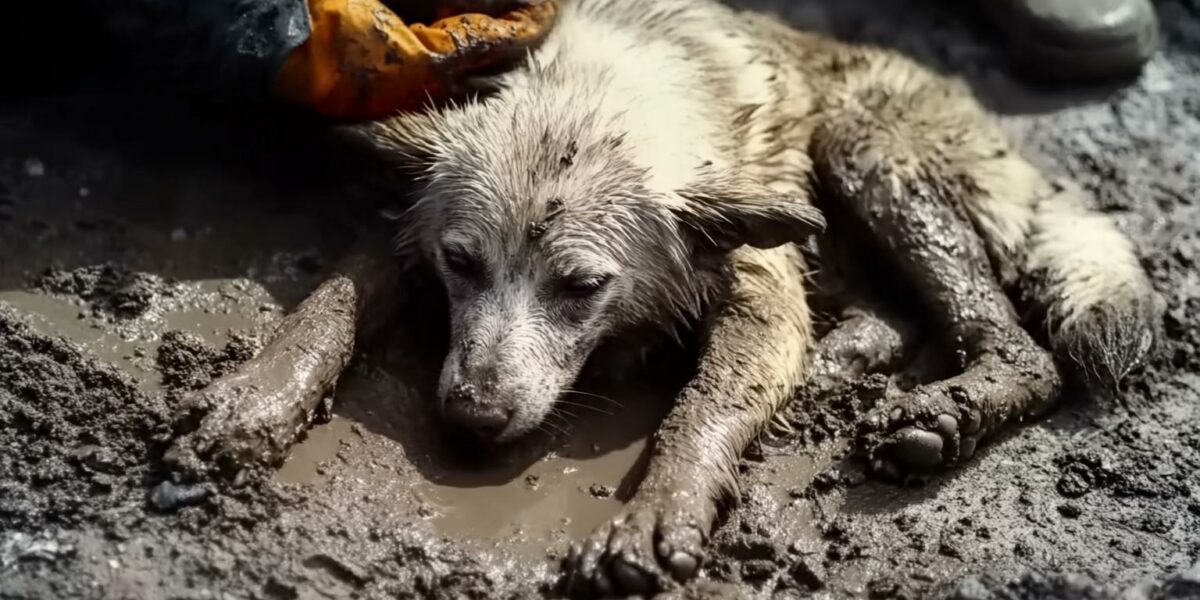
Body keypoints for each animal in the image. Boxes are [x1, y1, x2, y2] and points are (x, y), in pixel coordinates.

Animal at [159, 0, 1161, 595]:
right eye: (460, 264)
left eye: (581, 286)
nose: (473, 419)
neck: (608, 86)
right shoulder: (402, 233)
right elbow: (324, 307)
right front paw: (253, 404)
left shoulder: (756, 285)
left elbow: (701, 412)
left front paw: (653, 514)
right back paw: (847, 361)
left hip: (864, 148)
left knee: (1020, 345)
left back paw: (948, 412)